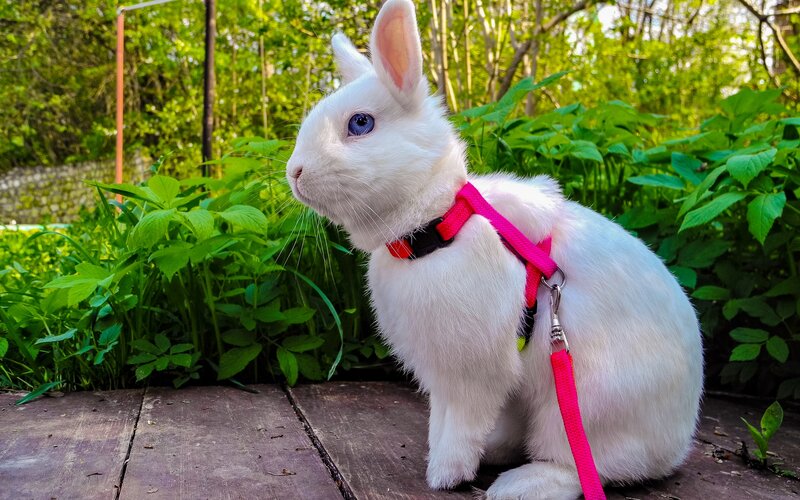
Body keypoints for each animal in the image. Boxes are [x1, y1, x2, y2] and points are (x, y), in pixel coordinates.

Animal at [286, 0, 704, 498]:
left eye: (360, 123)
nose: (294, 172)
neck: (438, 225)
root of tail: (676, 442)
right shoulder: (442, 377)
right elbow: (441, 421)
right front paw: (443, 462)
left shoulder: (472, 372)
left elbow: (460, 424)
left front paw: (444, 475)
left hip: (579, 406)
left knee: (581, 467)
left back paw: (520, 484)